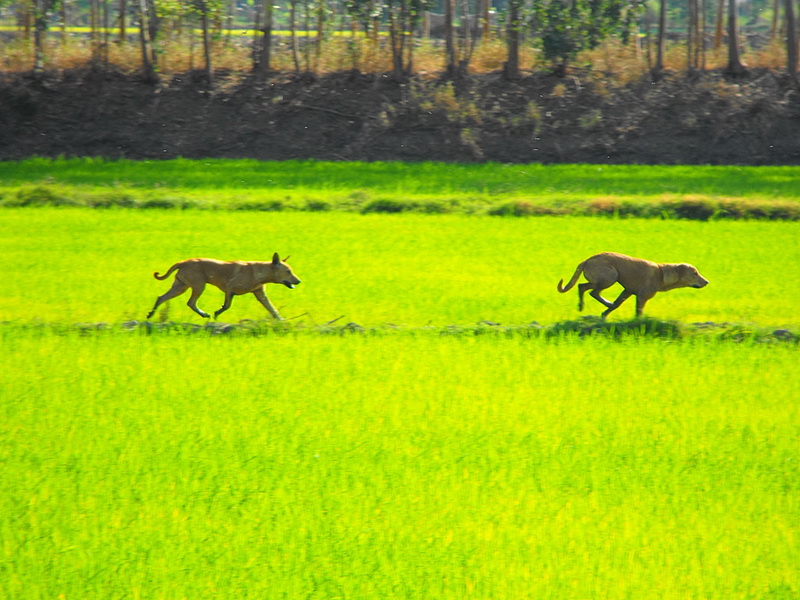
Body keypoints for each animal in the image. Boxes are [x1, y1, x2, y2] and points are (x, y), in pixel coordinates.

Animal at [146, 252, 300, 322]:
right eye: (288, 271)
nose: (299, 281)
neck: (261, 271)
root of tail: (183, 262)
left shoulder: (260, 294)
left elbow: (272, 308)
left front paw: (280, 320)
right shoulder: (229, 288)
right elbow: (226, 306)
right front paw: (216, 313)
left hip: (180, 286)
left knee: (161, 298)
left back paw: (150, 314)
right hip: (199, 285)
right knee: (190, 302)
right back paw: (204, 314)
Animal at [560, 252, 708, 318]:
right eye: (695, 273)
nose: (707, 282)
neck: (662, 275)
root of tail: (587, 260)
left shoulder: (628, 291)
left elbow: (618, 303)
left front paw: (604, 314)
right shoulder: (642, 296)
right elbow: (638, 312)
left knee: (582, 287)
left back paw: (582, 306)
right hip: (611, 276)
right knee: (592, 291)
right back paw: (605, 303)